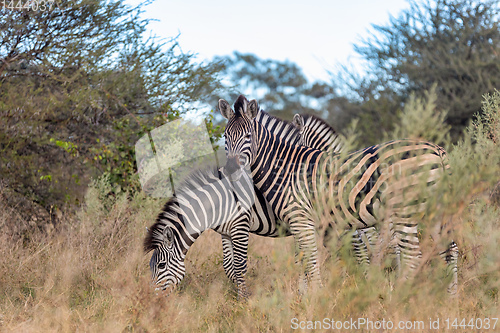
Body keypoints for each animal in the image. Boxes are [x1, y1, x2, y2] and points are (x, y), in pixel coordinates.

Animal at [221, 94, 458, 292]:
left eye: (248, 136)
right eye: (225, 137)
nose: (230, 170)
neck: (286, 168)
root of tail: (437, 149)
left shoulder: (304, 220)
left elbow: (314, 262)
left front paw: (317, 300)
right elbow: (311, 261)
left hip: (404, 212)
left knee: (413, 257)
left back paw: (401, 298)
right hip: (437, 210)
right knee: (448, 249)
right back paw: (449, 297)